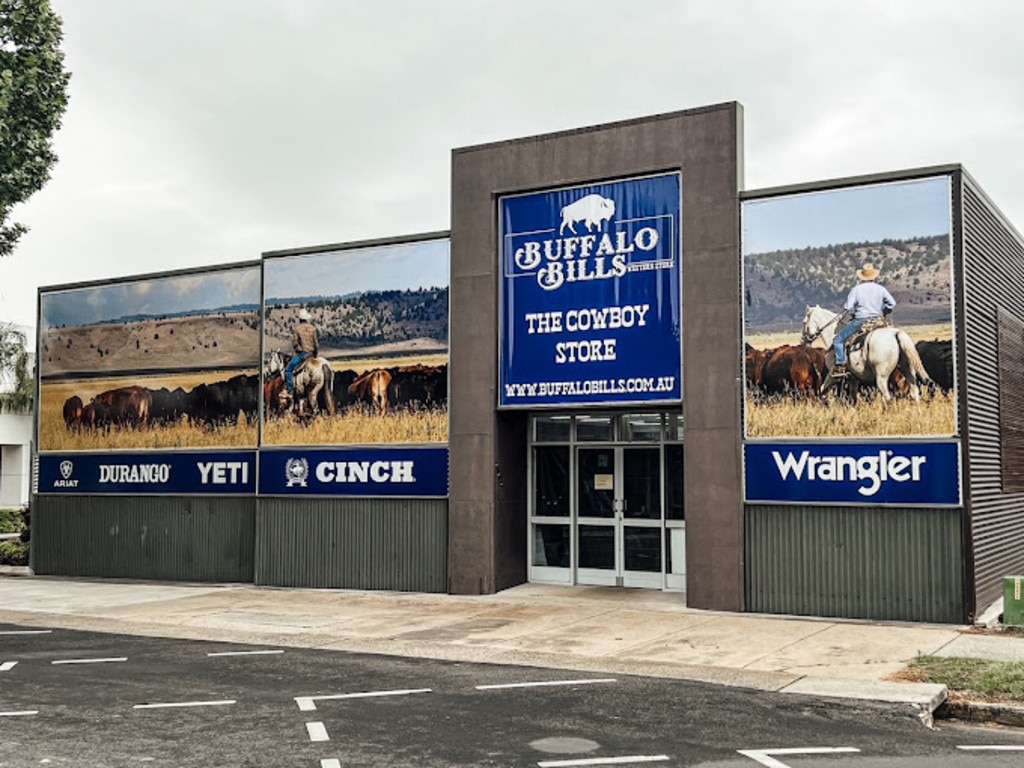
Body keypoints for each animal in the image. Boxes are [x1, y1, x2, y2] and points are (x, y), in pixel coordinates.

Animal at [798, 305, 937, 405]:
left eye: (804, 322)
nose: (803, 341)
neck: (833, 334)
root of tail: (896, 334)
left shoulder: (834, 375)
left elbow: (822, 390)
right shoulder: (853, 378)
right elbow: (852, 399)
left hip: (882, 377)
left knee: (887, 398)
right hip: (908, 370)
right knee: (914, 393)